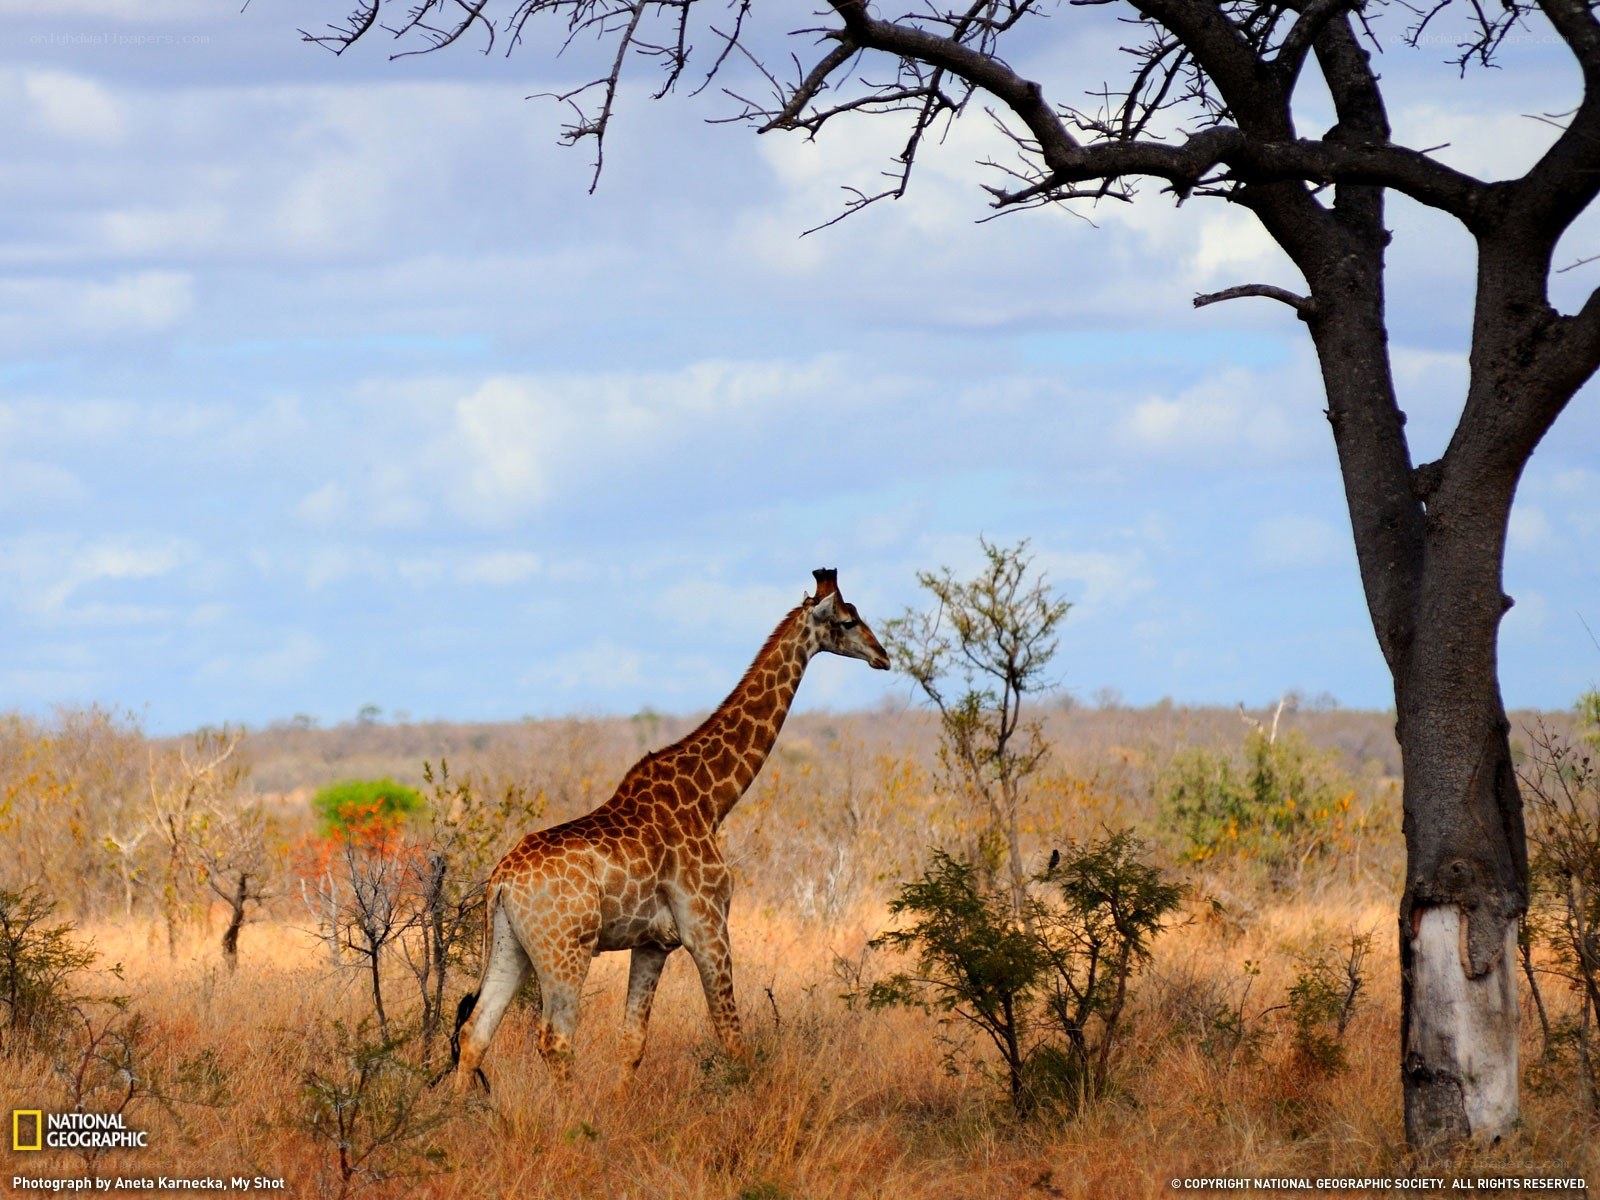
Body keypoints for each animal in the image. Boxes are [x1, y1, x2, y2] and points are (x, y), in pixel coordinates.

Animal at [451, 568, 890, 1092]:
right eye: (847, 621)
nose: (884, 656)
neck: (709, 800)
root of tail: (500, 882)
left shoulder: (652, 943)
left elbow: (632, 1042)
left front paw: (620, 1105)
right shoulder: (708, 926)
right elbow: (732, 1037)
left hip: (510, 945)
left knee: (476, 1032)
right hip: (567, 949)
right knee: (555, 1038)